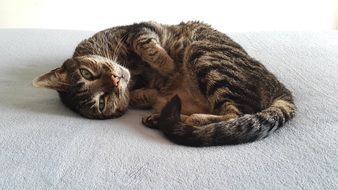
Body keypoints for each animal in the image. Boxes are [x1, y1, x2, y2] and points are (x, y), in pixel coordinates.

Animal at [33, 20, 294, 146]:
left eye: (87, 73)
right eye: (102, 103)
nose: (116, 80)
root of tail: (280, 88)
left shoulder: (139, 29)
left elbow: (146, 45)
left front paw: (168, 66)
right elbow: (143, 94)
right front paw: (143, 93)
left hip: (204, 53)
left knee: (235, 113)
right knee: (230, 115)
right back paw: (166, 118)